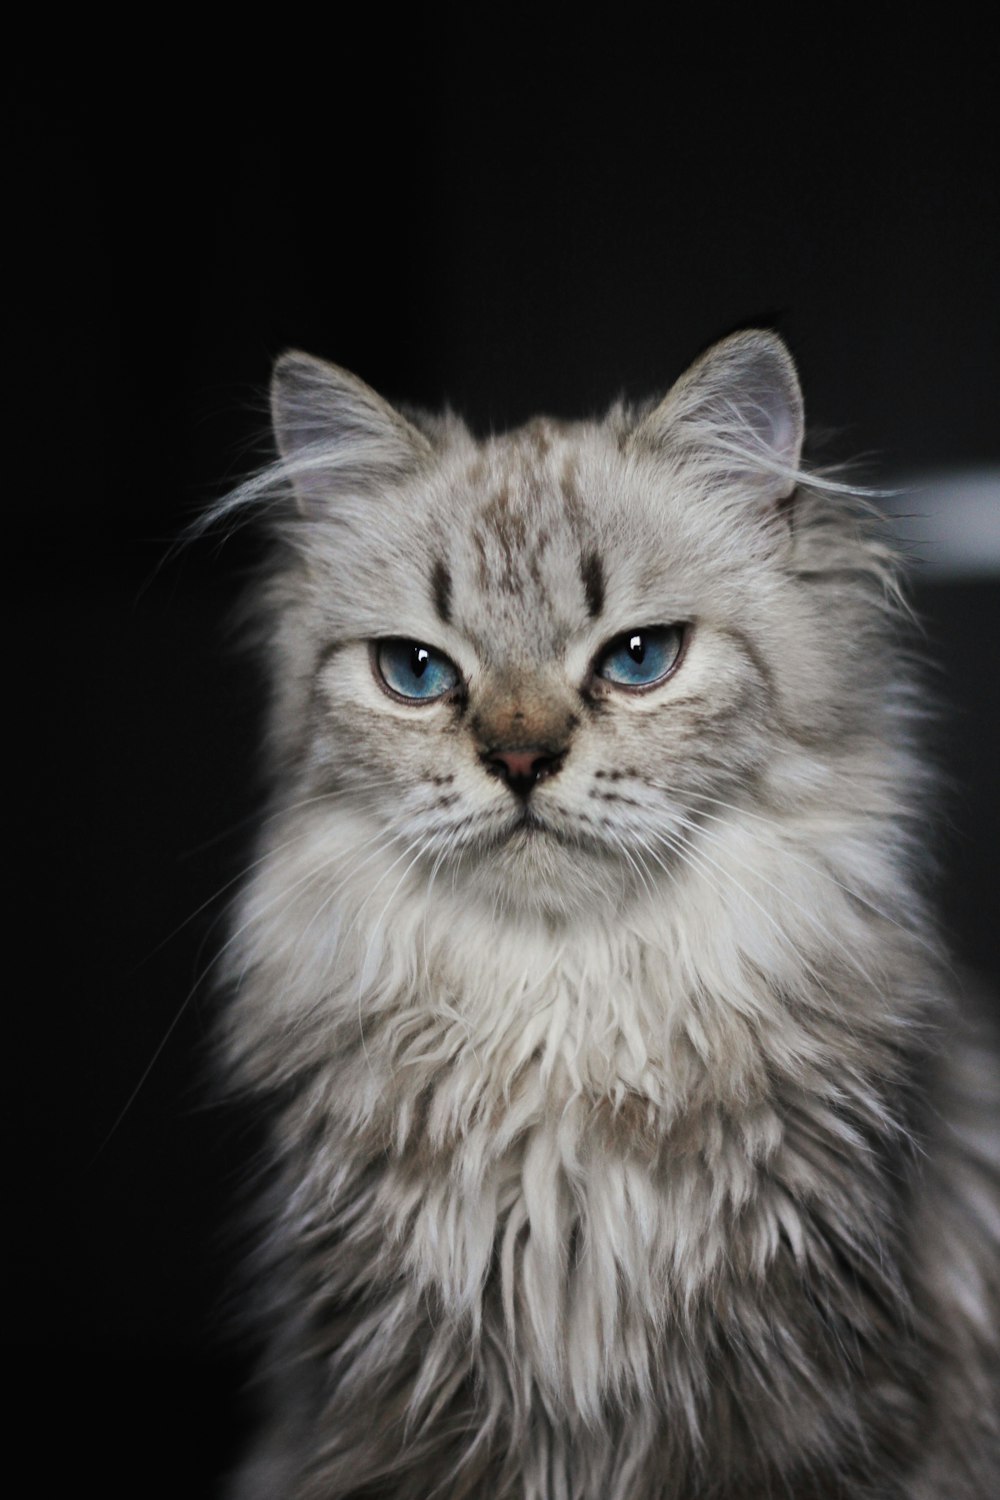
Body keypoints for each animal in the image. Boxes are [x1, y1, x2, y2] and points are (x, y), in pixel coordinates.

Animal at [218, 334, 1000, 1494]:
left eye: (638, 659)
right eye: (417, 672)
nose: (519, 759)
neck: (564, 1012)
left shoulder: (818, 1403)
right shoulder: (390, 1405)